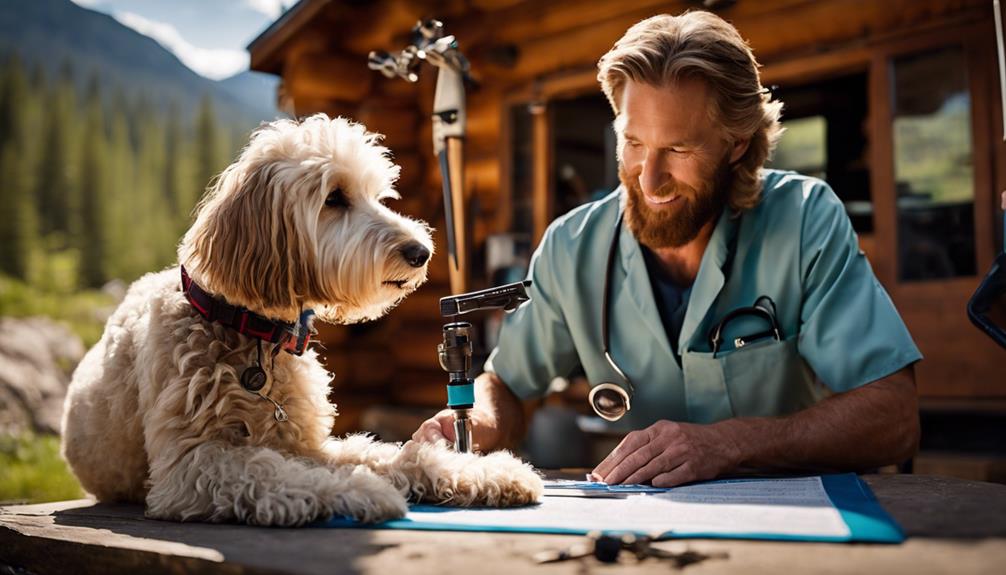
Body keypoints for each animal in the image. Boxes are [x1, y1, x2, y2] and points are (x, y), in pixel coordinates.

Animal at [60, 114, 543, 526]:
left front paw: (489, 472)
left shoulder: (307, 443)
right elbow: (273, 471)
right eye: (334, 198)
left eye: (377, 195)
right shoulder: (188, 466)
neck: (250, 333)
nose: (421, 252)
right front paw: (362, 491)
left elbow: (391, 454)